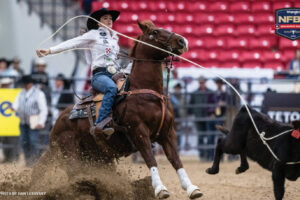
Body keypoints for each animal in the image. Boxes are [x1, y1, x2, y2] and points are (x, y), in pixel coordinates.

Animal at [31, 21, 202, 199]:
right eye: (154, 32)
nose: (182, 41)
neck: (148, 93)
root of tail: (56, 125)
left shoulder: (167, 133)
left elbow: (176, 160)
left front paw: (191, 188)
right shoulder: (139, 132)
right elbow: (150, 159)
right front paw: (160, 189)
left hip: (98, 157)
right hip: (71, 156)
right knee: (75, 177)